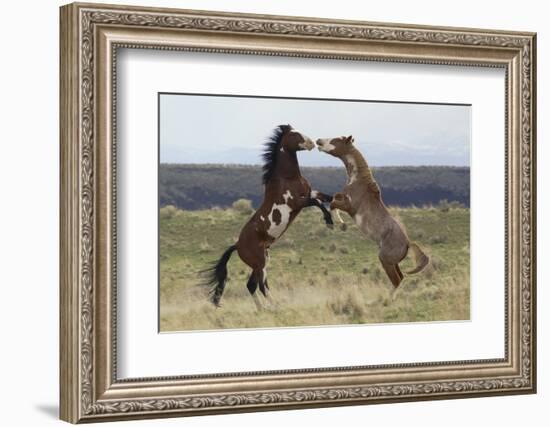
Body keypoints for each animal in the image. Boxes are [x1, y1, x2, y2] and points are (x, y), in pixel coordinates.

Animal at [202, 125, 332, 310]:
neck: (287, 178)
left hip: (262, 262)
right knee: (260, 285)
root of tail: (237, 245)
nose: (311, 143)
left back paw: (262, 309)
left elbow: (327, 197)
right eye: (295, 134)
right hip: (260, 263)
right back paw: (274, 306)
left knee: (252, 285)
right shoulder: (299, 202)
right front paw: (329, 221)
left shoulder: (309, 193)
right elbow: (318, 202)